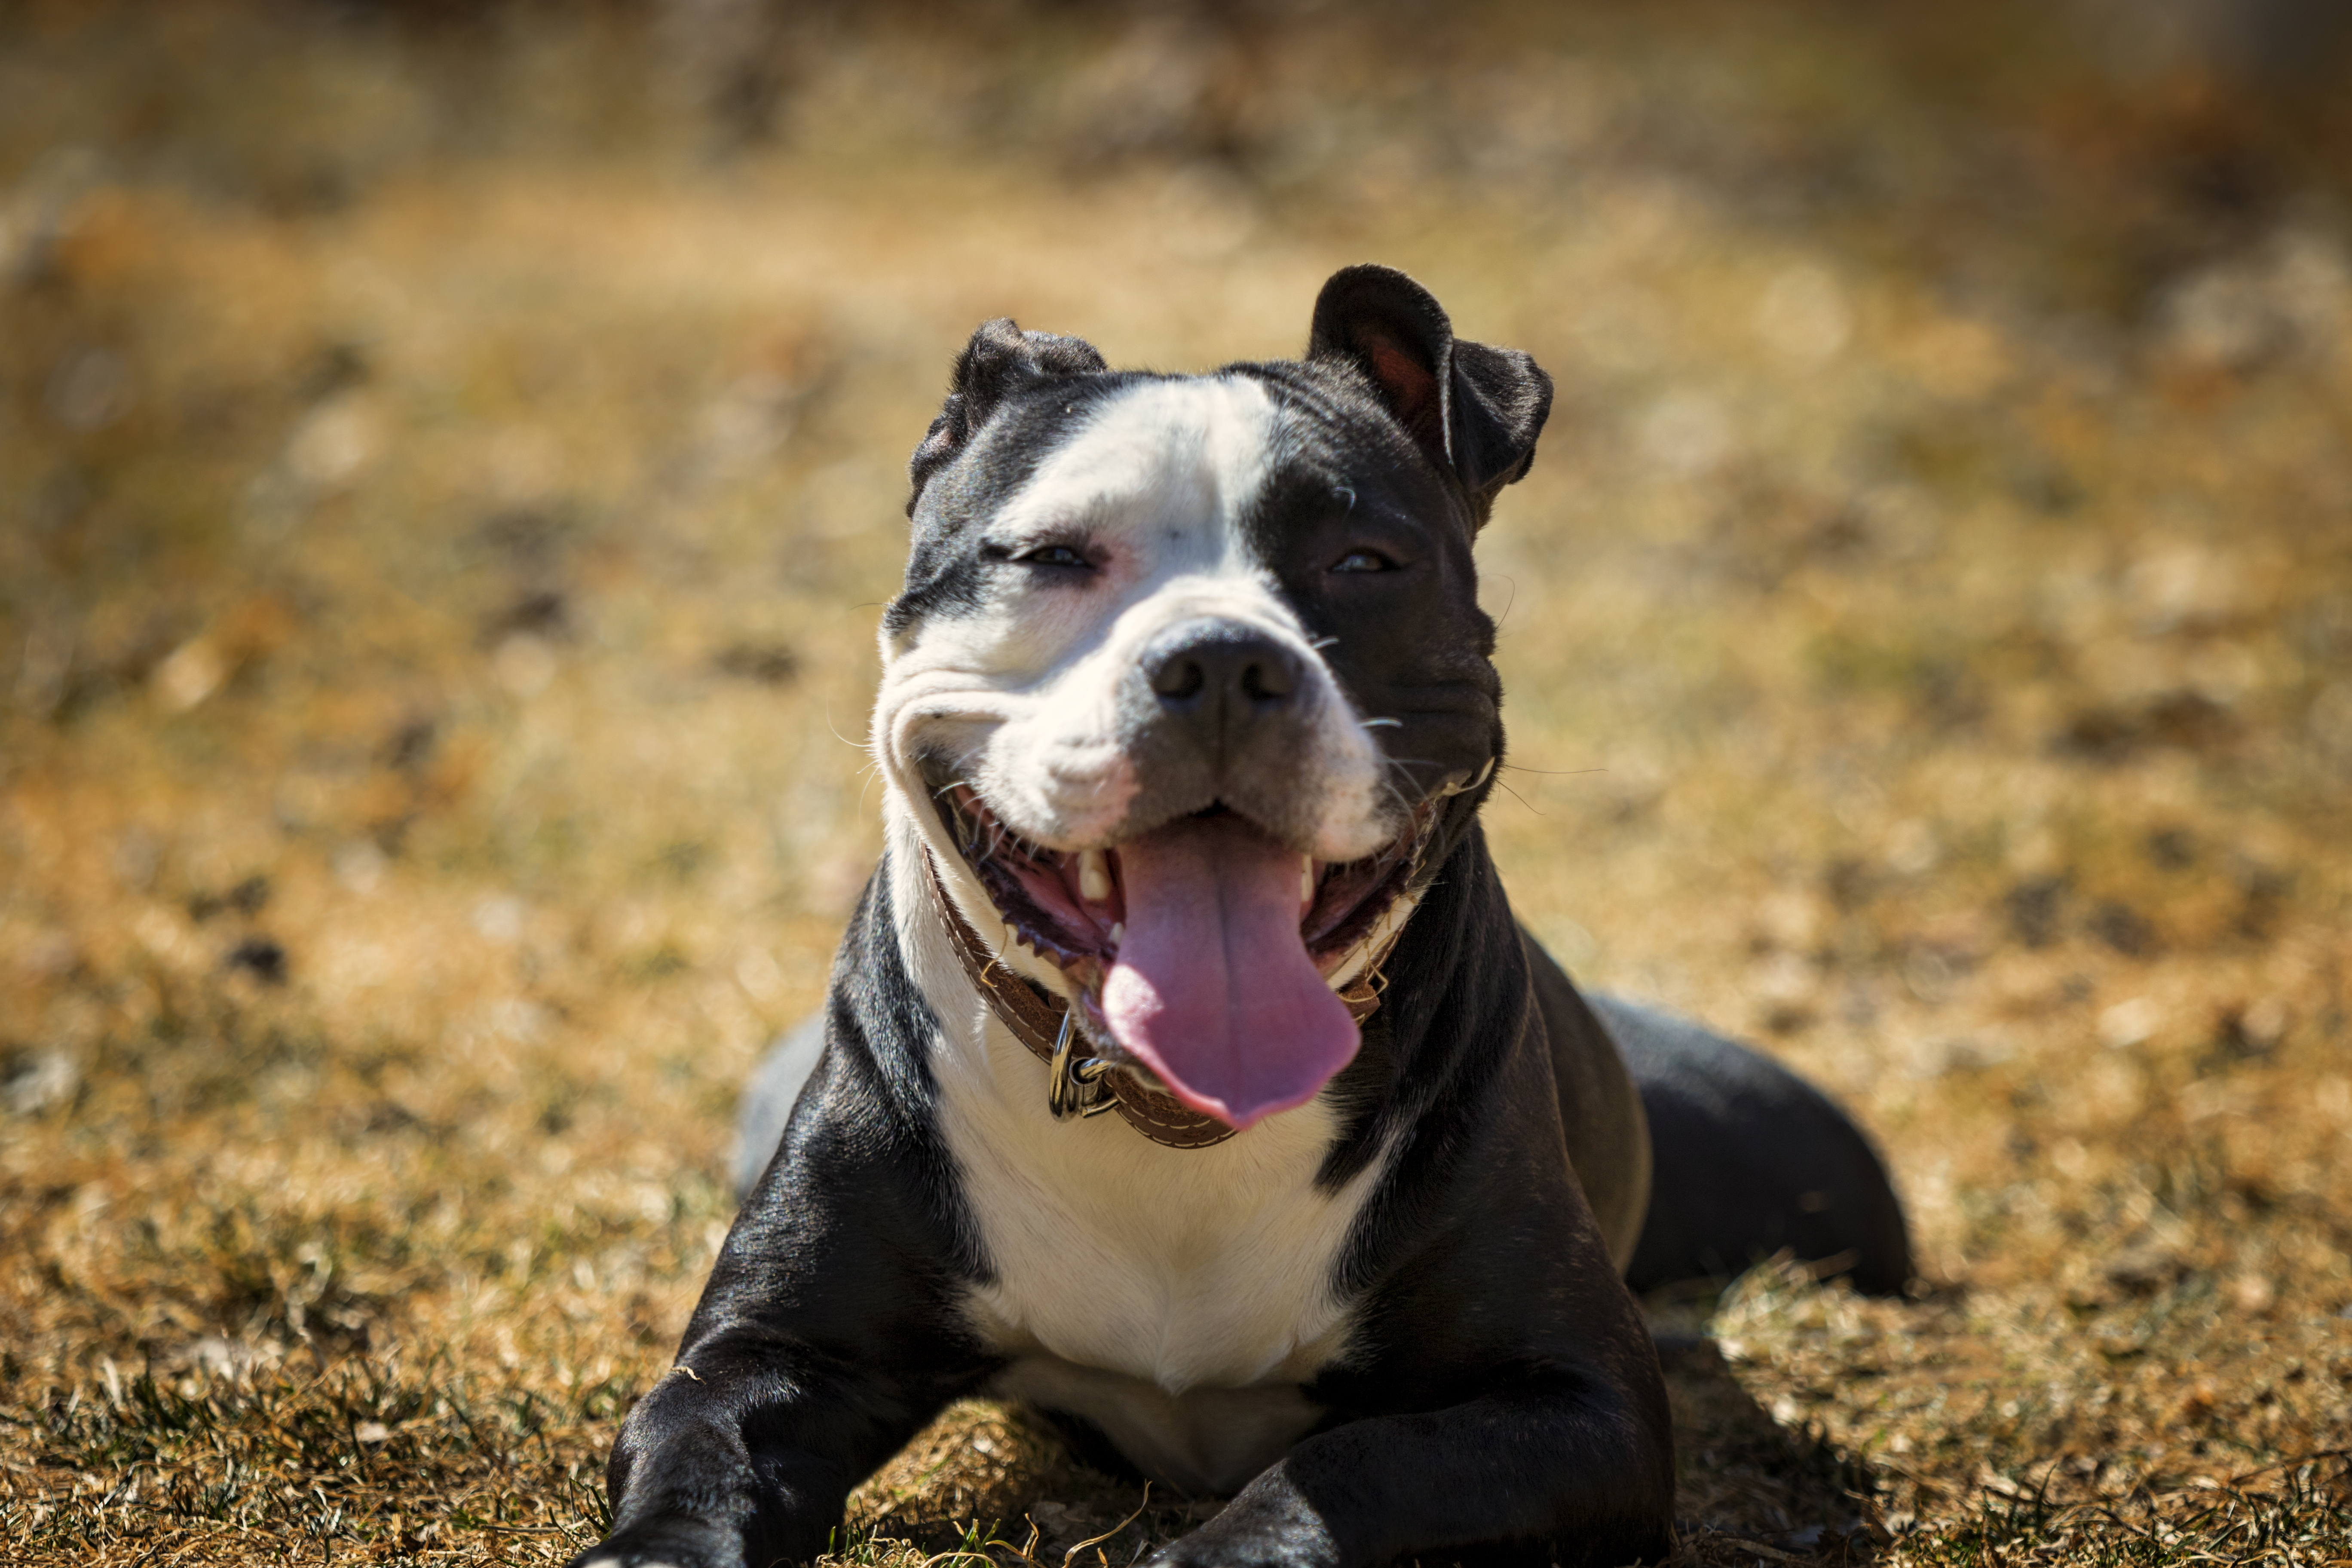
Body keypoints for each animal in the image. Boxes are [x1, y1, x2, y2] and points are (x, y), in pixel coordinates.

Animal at [574, 263, 1910, 1568]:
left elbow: (1345, 1473)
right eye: (1051, 557)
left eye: (1363, 562)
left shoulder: (1580, 1407)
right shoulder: (769, 1358)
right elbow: (700, 1469)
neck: (1168, 1120)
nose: (1218, 663)